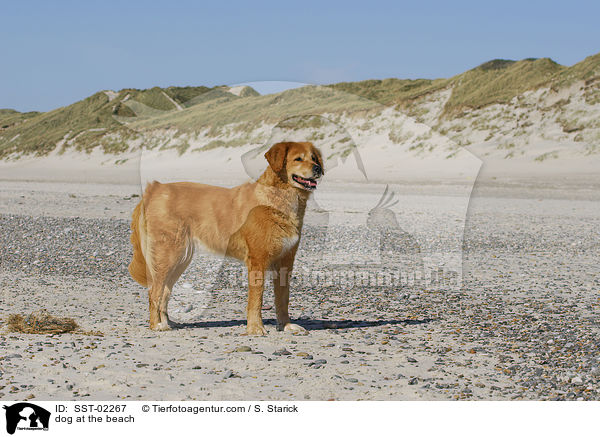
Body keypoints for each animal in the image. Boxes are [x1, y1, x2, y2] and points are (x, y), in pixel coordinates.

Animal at [127, 141, 324, 334]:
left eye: (314, 158)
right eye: (298, 159)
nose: (318, 168)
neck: (279, 197)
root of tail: (153, 190)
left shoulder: (286, 260)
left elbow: (283, 299)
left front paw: (286, 325)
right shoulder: (258, 259)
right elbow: (256, 299)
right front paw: (255, 328)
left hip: (180, 259)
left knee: (165, 293)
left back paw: (168, 323)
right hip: (168, 255)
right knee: (154, 292)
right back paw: (156, 325)